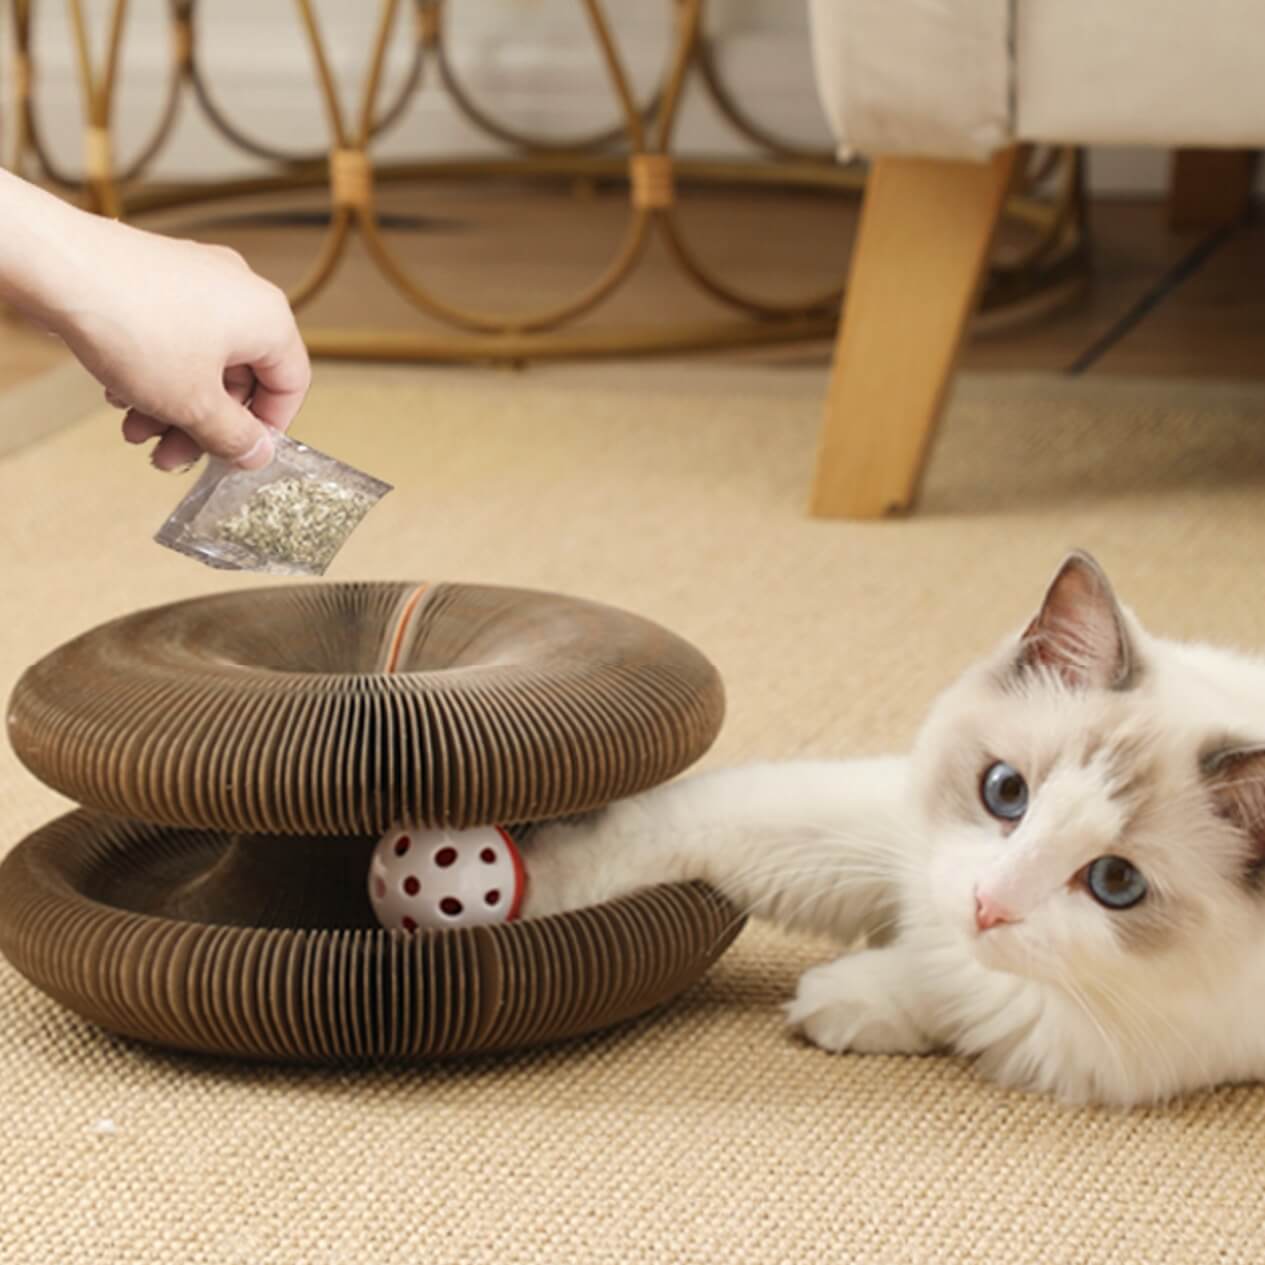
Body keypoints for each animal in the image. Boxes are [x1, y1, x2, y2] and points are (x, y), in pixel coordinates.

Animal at [518, 556, 1265, 1108]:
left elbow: (957, 993)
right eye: (1006, 792)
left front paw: (837, 1001)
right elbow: (666, 830)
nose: (987, 904)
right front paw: (517, 894)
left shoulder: (1105, 1034)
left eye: (1115, 881)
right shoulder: (881, 834)